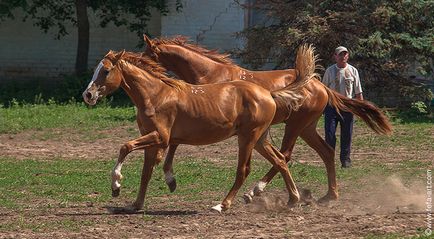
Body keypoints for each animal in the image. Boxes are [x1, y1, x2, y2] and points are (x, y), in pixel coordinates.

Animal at [82, 47, 316, 212]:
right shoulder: (152, 140)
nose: (88, 95)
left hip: (248, 138)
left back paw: (222, 205)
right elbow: (146, 172)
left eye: (106, 70)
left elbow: (125, 147)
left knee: (244, 170)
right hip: (259, 140)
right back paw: (292, 199)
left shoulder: (160, 137)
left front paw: (116, 186)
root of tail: (269, 93)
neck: (156, 95)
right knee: (280, 160)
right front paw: (136, 204)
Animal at [144, 35, 392, 204]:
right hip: (307, 128)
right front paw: (166, 173)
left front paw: (169, 176)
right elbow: (174, 142)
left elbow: (174, 142)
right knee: (326, 152)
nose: (143, 69)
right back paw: (330, 195)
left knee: (286, 155)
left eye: (147, 55)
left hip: (295, 126)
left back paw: (256, 191)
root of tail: (321, 86)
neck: (211, 75)